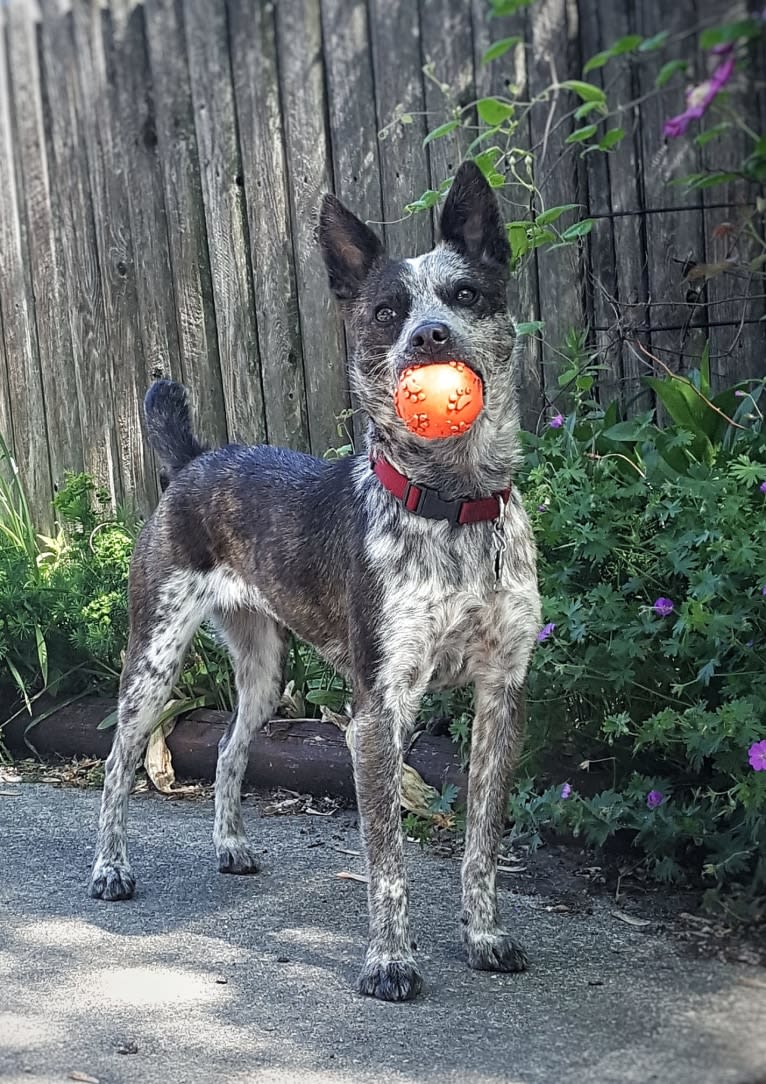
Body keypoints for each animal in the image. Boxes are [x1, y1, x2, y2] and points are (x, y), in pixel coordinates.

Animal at [89, 162, 539, 1005]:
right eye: (388, 311)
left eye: (465, 294)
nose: (430, 336)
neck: (452, 505)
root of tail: (192, 459)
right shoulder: (379, 709)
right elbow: (387, 860)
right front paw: (390, 962)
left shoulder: (502, 694)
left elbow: (482, 845)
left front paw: (486, 938)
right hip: (153, 660)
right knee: (116, 764)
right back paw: (110, 867)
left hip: (266, 671)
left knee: (228, 747)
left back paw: (230, 846)